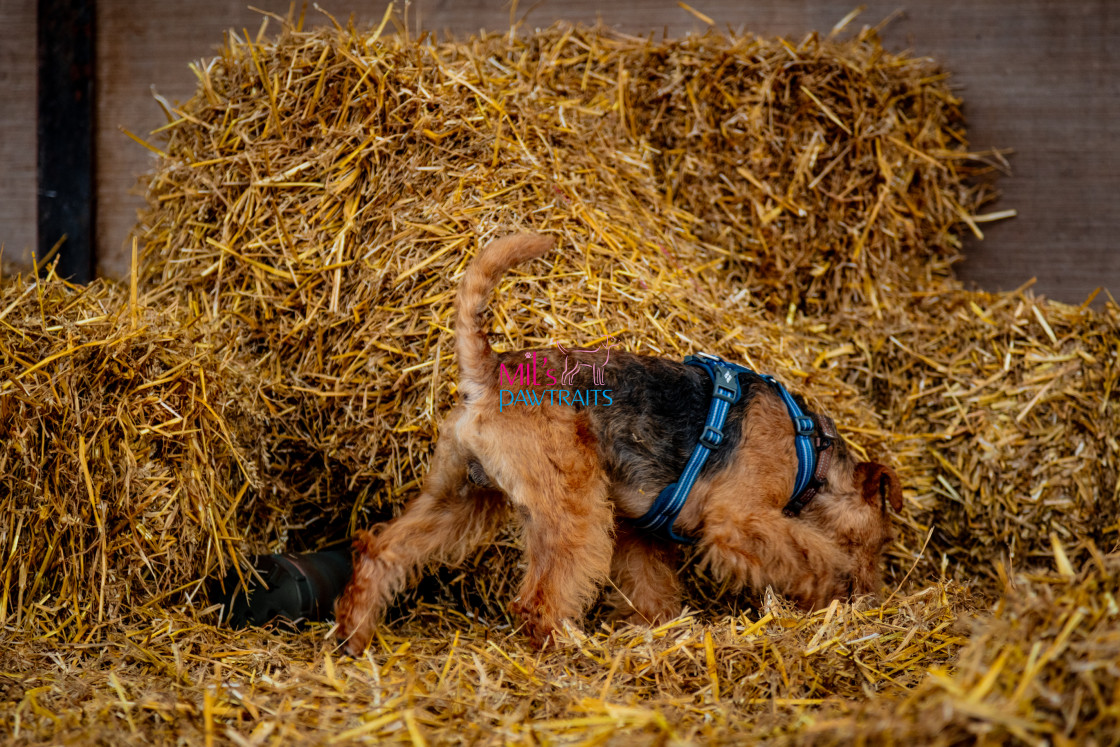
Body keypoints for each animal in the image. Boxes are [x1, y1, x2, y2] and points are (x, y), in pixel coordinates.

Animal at [331, 234, 900, 654]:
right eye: (875, 544)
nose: (872, 597)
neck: (811, 451)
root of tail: (490, 373)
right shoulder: (739, 519)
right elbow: (807, 552)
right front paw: (831, 585)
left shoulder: (639, 531)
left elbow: (651, 589)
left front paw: (656, 627)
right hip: (572, 509)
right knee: (538, 601)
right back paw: (571, 650)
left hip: (462, 496)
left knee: (382, 550)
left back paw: (354, 637)